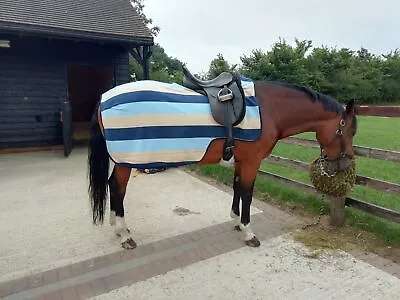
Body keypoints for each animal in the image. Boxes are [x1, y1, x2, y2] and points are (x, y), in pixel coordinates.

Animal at [86, 74, 356, 250]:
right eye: (350, 130)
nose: (343, 166)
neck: (269, 108)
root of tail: (103, 99)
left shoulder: (241, 160)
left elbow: (237, 188)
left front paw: (236, 222)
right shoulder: (252, 161)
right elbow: (247, 192)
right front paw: (248, 231)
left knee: (113, 187)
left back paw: (118, 226)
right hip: (126, 161)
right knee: (117, 188)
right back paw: (124, 234)